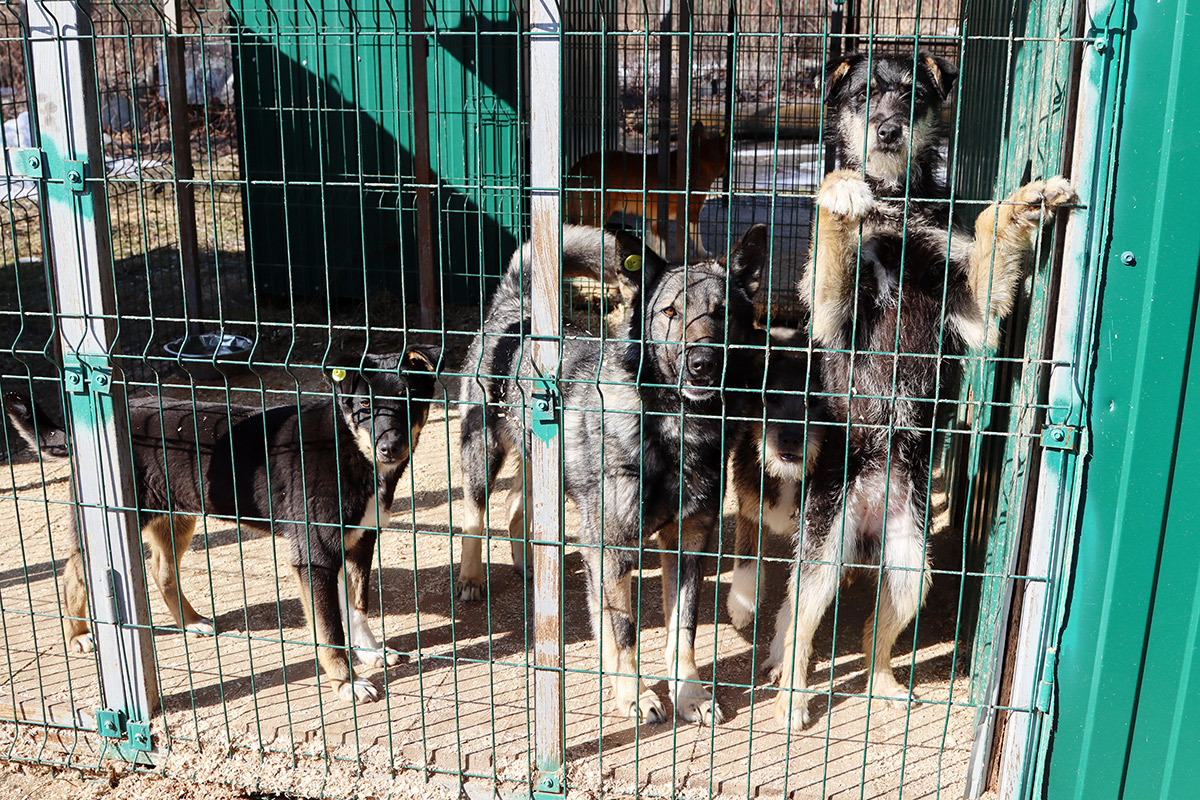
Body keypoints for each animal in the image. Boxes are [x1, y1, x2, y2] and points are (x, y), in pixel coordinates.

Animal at [458, 221, 768, 724]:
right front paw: (633, 695)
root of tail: (513, 305)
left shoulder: (687, 545)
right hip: (482, 454)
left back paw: (529, 563)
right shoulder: (611, 547)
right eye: (670, 312)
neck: (675, 431)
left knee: (515, 504)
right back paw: (471, 578)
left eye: (722, 314)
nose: (702, 364)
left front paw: (691, 695)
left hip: (542, 465)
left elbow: (683, 632)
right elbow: (623, 632)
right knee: (475, 514)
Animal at [768, 51, 1080, 734]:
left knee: (872, 634)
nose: (887, 132)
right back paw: (790, 696)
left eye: (912, 97)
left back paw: (884, 684)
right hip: (822, 556)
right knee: (799, 623)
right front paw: (839, 192)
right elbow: (833, 240)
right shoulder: (831, 310)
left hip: (912, 568)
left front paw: (1026, 201)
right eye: (863, 96)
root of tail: (865, 522)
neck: (895, 206)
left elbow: (988, 227)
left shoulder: (972, 303)